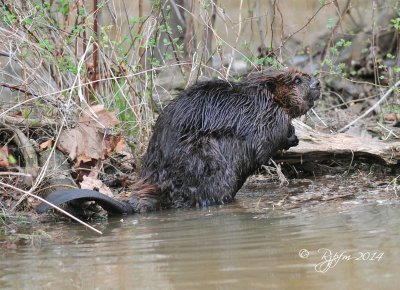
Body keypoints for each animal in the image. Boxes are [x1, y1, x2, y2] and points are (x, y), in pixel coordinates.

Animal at [36, 67, 320, 213]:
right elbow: (268, 139)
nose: (317, 82)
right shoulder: (264, 115)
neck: (260, 96)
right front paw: (292, 136)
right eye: (297, 79)